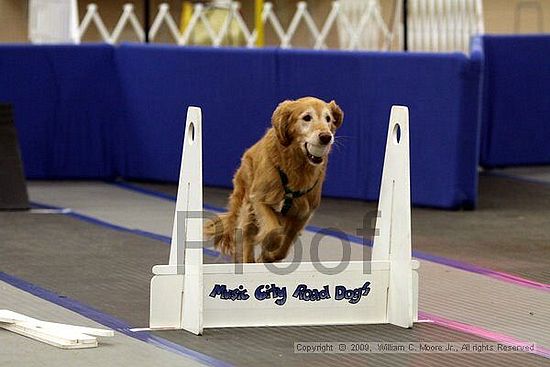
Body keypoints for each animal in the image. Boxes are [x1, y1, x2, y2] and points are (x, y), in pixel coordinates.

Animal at [207, 95, 344, 262]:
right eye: (307, 117)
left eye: (328, 118)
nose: (326, 137)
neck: (296, 167)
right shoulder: (259, 199)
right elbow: (273, 230)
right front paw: (269, 247)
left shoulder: (303, 214)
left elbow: (285, 244)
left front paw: (270, 255)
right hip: (246, 201)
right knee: (247, 236)